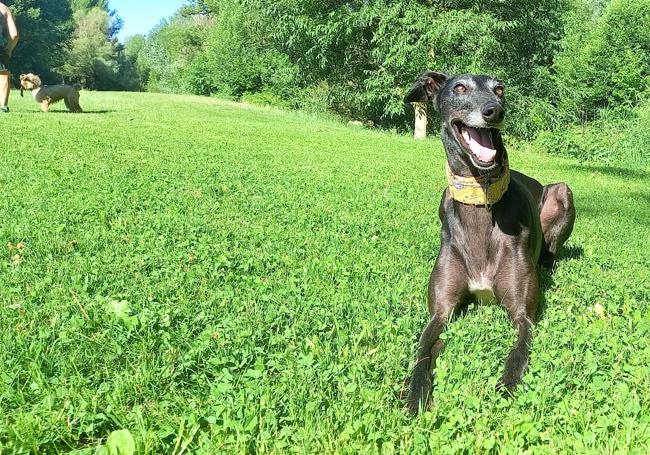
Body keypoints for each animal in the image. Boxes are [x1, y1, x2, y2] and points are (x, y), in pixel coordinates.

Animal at [402, 72, 576, 416]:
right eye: (459, 88)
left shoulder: (523, 315)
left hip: (562, 191)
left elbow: (518, 354)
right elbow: (422, 351)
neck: (480, 199)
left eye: (500, 89)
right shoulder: (440, 313)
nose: (494, 111)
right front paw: (416, 393)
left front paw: (506, 387)